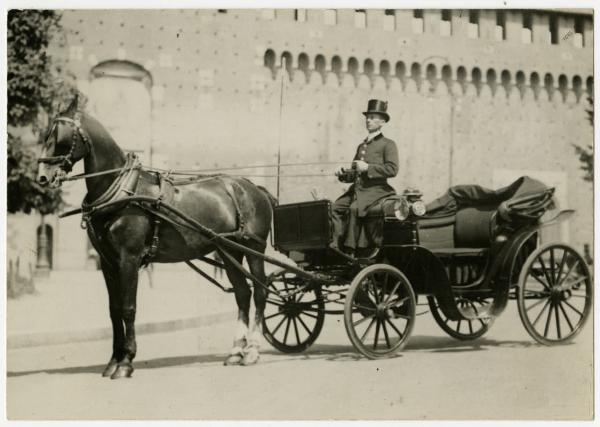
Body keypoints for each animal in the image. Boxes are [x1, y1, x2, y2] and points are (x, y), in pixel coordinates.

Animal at [38, 96, 278, 378]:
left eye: (61, 135)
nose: (42, 176)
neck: (123, 191)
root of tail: (254, 187)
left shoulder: (128, 259)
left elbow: (128, 308)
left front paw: (126, 362)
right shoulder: (108, 263)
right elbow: (114, 310)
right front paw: (113, 362)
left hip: (254, 249)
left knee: (260, 292)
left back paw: (252, 350)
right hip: (229, 251)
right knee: (242, 293)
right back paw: (235, 352)